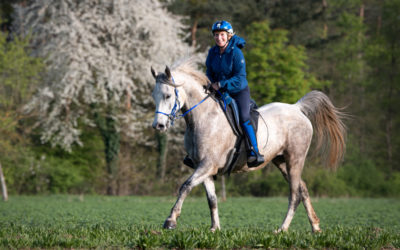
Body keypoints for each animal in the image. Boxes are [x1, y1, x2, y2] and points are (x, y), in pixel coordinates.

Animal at [152, 59, 346, 233]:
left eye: (168, 95)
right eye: (154, 96)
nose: (158, 125)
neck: (203, 118)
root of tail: (296, 108)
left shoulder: (207, 165)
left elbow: (185, 186)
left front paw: (170, 220)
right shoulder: (204, 168)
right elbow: (212, 199)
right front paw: (215, 228)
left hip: (295, 159)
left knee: (294, 194)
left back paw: (282, 229)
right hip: (281, 161)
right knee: (302, 189)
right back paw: (315, 227)